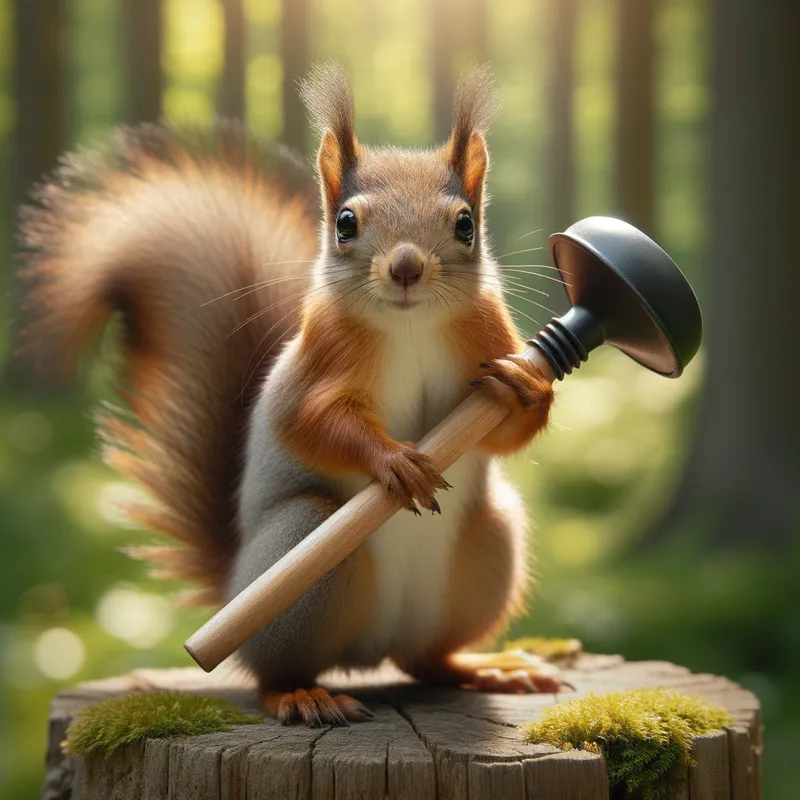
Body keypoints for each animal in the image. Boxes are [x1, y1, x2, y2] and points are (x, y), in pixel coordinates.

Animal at [18, 64, 559, 726]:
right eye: (345, 223)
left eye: (465, 224)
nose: (406, 268)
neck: (411, 322)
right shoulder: (315, 362)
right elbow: (308, 423)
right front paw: (393, 461)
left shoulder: (486, 333)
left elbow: (503, 430)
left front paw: (527, 385)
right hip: (299, 561)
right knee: (271, 672)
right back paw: (302, 696)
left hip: (489, 545)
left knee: (426, 660)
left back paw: (484, 669)